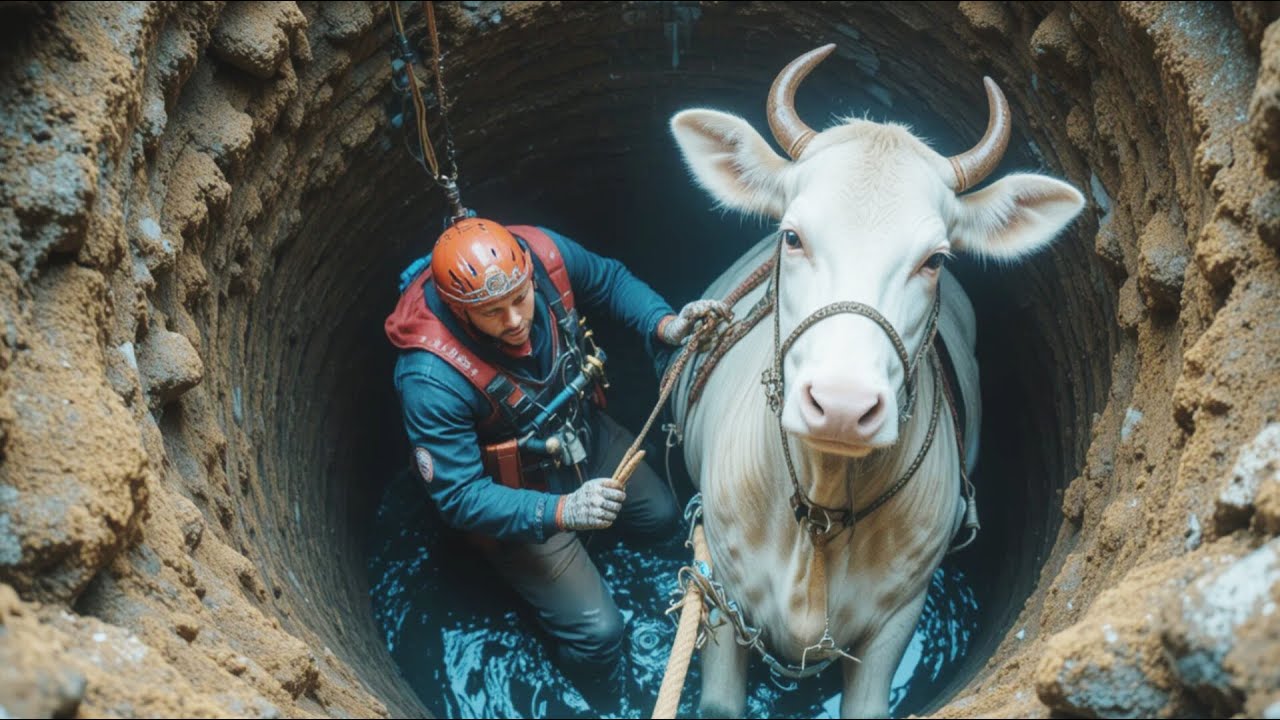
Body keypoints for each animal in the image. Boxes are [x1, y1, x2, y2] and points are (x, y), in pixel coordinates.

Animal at [666, 45, 1085, 718]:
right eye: (792, 235)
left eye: (934, 259)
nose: (841, 404)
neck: (820, 516)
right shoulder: (720, 585)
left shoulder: (900, 615)